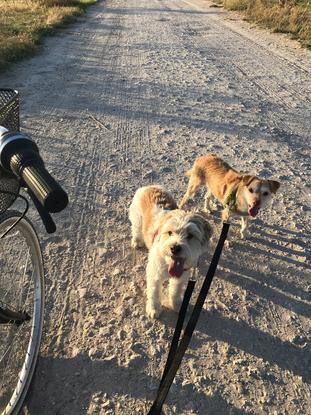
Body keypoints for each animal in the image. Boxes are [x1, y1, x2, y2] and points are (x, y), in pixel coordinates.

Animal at [129, 185, 212, 318]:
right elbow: (154, 293)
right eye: (169, 232)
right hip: (136, 217)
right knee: (136, 229)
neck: (168, 262)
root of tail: (150, 186)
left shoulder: (181, 276)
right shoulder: (154, 275)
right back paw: (137, 241)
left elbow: (176, 292)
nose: (175, 248)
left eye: (190, 235)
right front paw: (154, 308)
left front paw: (176, 305)